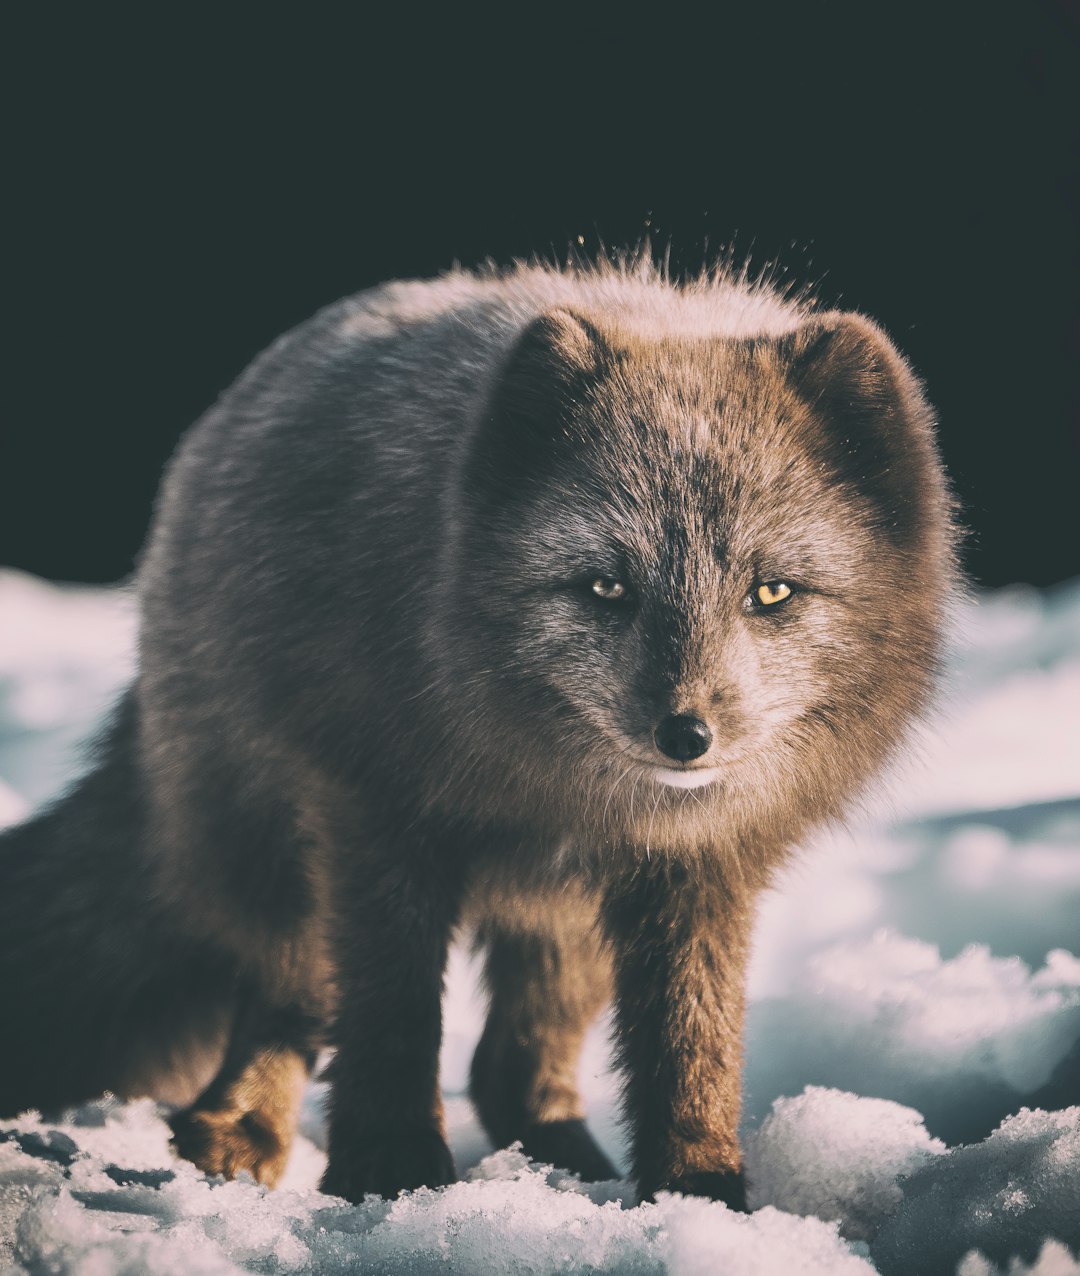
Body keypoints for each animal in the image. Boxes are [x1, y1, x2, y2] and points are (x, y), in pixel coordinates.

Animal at [0, 261, 954, 1204]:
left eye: (772, 592)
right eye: (607, 588)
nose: (685, 734)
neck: (552, 785)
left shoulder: (703, 868)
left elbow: (695, 1047)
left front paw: (698, 1193)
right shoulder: (378, 819)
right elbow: (392, 1016)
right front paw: (389, 1168)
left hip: (568, 925)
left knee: (510, 1071)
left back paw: (561, 1171)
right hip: (283, 860)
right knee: (288, 1005)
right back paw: (239, 1132)